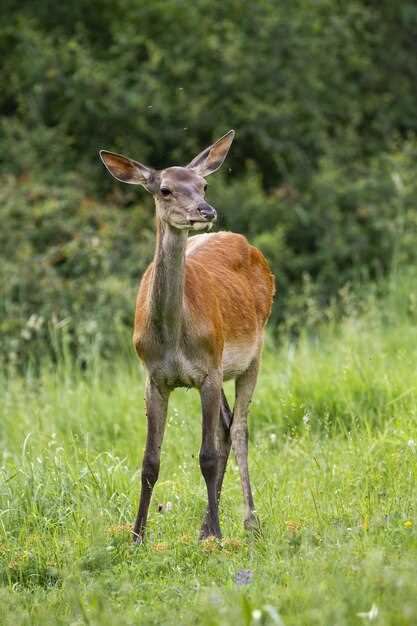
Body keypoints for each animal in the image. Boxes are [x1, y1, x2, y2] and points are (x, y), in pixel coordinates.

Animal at [99, 129, 274, 540]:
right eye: (164, 189)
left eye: (203, 184)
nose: (205, 211)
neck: (171, 340)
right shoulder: (154, 378)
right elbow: (150, 461)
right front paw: (137, 536)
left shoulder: (207, 371)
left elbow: (206, 455)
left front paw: (218, 535)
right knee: (226, 428)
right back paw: (206, 523)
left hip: (252, 354)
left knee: (238, 431)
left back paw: (248, 520)